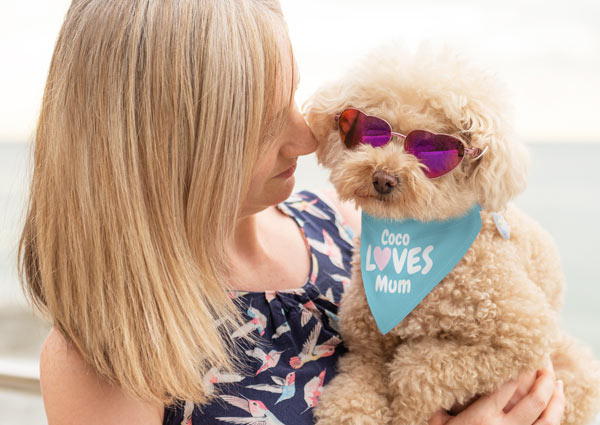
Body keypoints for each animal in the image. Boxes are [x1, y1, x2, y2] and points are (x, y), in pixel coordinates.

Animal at [304, 40, 600, 424]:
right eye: (370, 130)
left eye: (431, 147)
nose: (383, 177)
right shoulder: (366, 347)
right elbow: (353, 396)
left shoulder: (521, 334)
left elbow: (416, 369)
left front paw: (407, 409)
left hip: (573, 365)